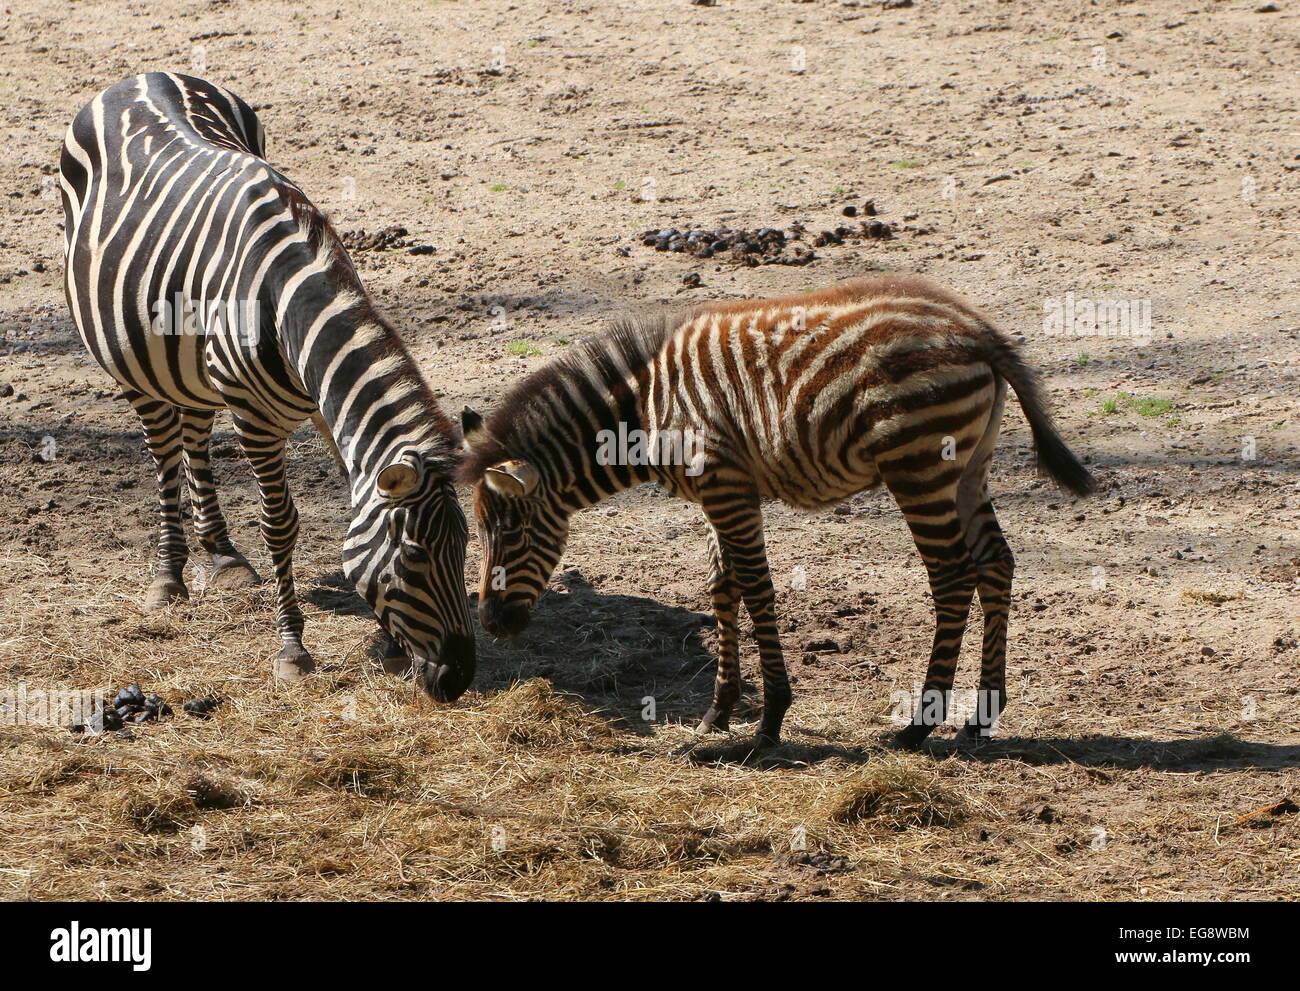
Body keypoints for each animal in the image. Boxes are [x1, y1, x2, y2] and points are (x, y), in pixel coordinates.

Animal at [59, 71, 478, 697]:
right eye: (413, 560)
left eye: (465, 549)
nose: (458, 678)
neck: (287, 300)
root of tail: (142, 75)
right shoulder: (255, 418)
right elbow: (281, 525)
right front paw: (294, 650)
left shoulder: (325, 406)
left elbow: (357, 496)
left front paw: (388, 644)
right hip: (130, 355)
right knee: (164, 446)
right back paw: (170, 575)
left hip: (193, 360)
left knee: (194, 425)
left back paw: (223, 555)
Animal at [462, 274, 1092, 743]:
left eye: (512, 534)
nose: (490, 624)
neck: (646, 412)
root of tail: (977, 327)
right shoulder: (720, 492)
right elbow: (722, 587)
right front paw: (718, 710)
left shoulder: (726, 487)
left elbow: (756, 587)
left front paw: (770, 718)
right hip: (969, 467)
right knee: (996, 563)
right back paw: (982, 716)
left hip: (918, 466)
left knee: (953, 576)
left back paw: (918, 726)